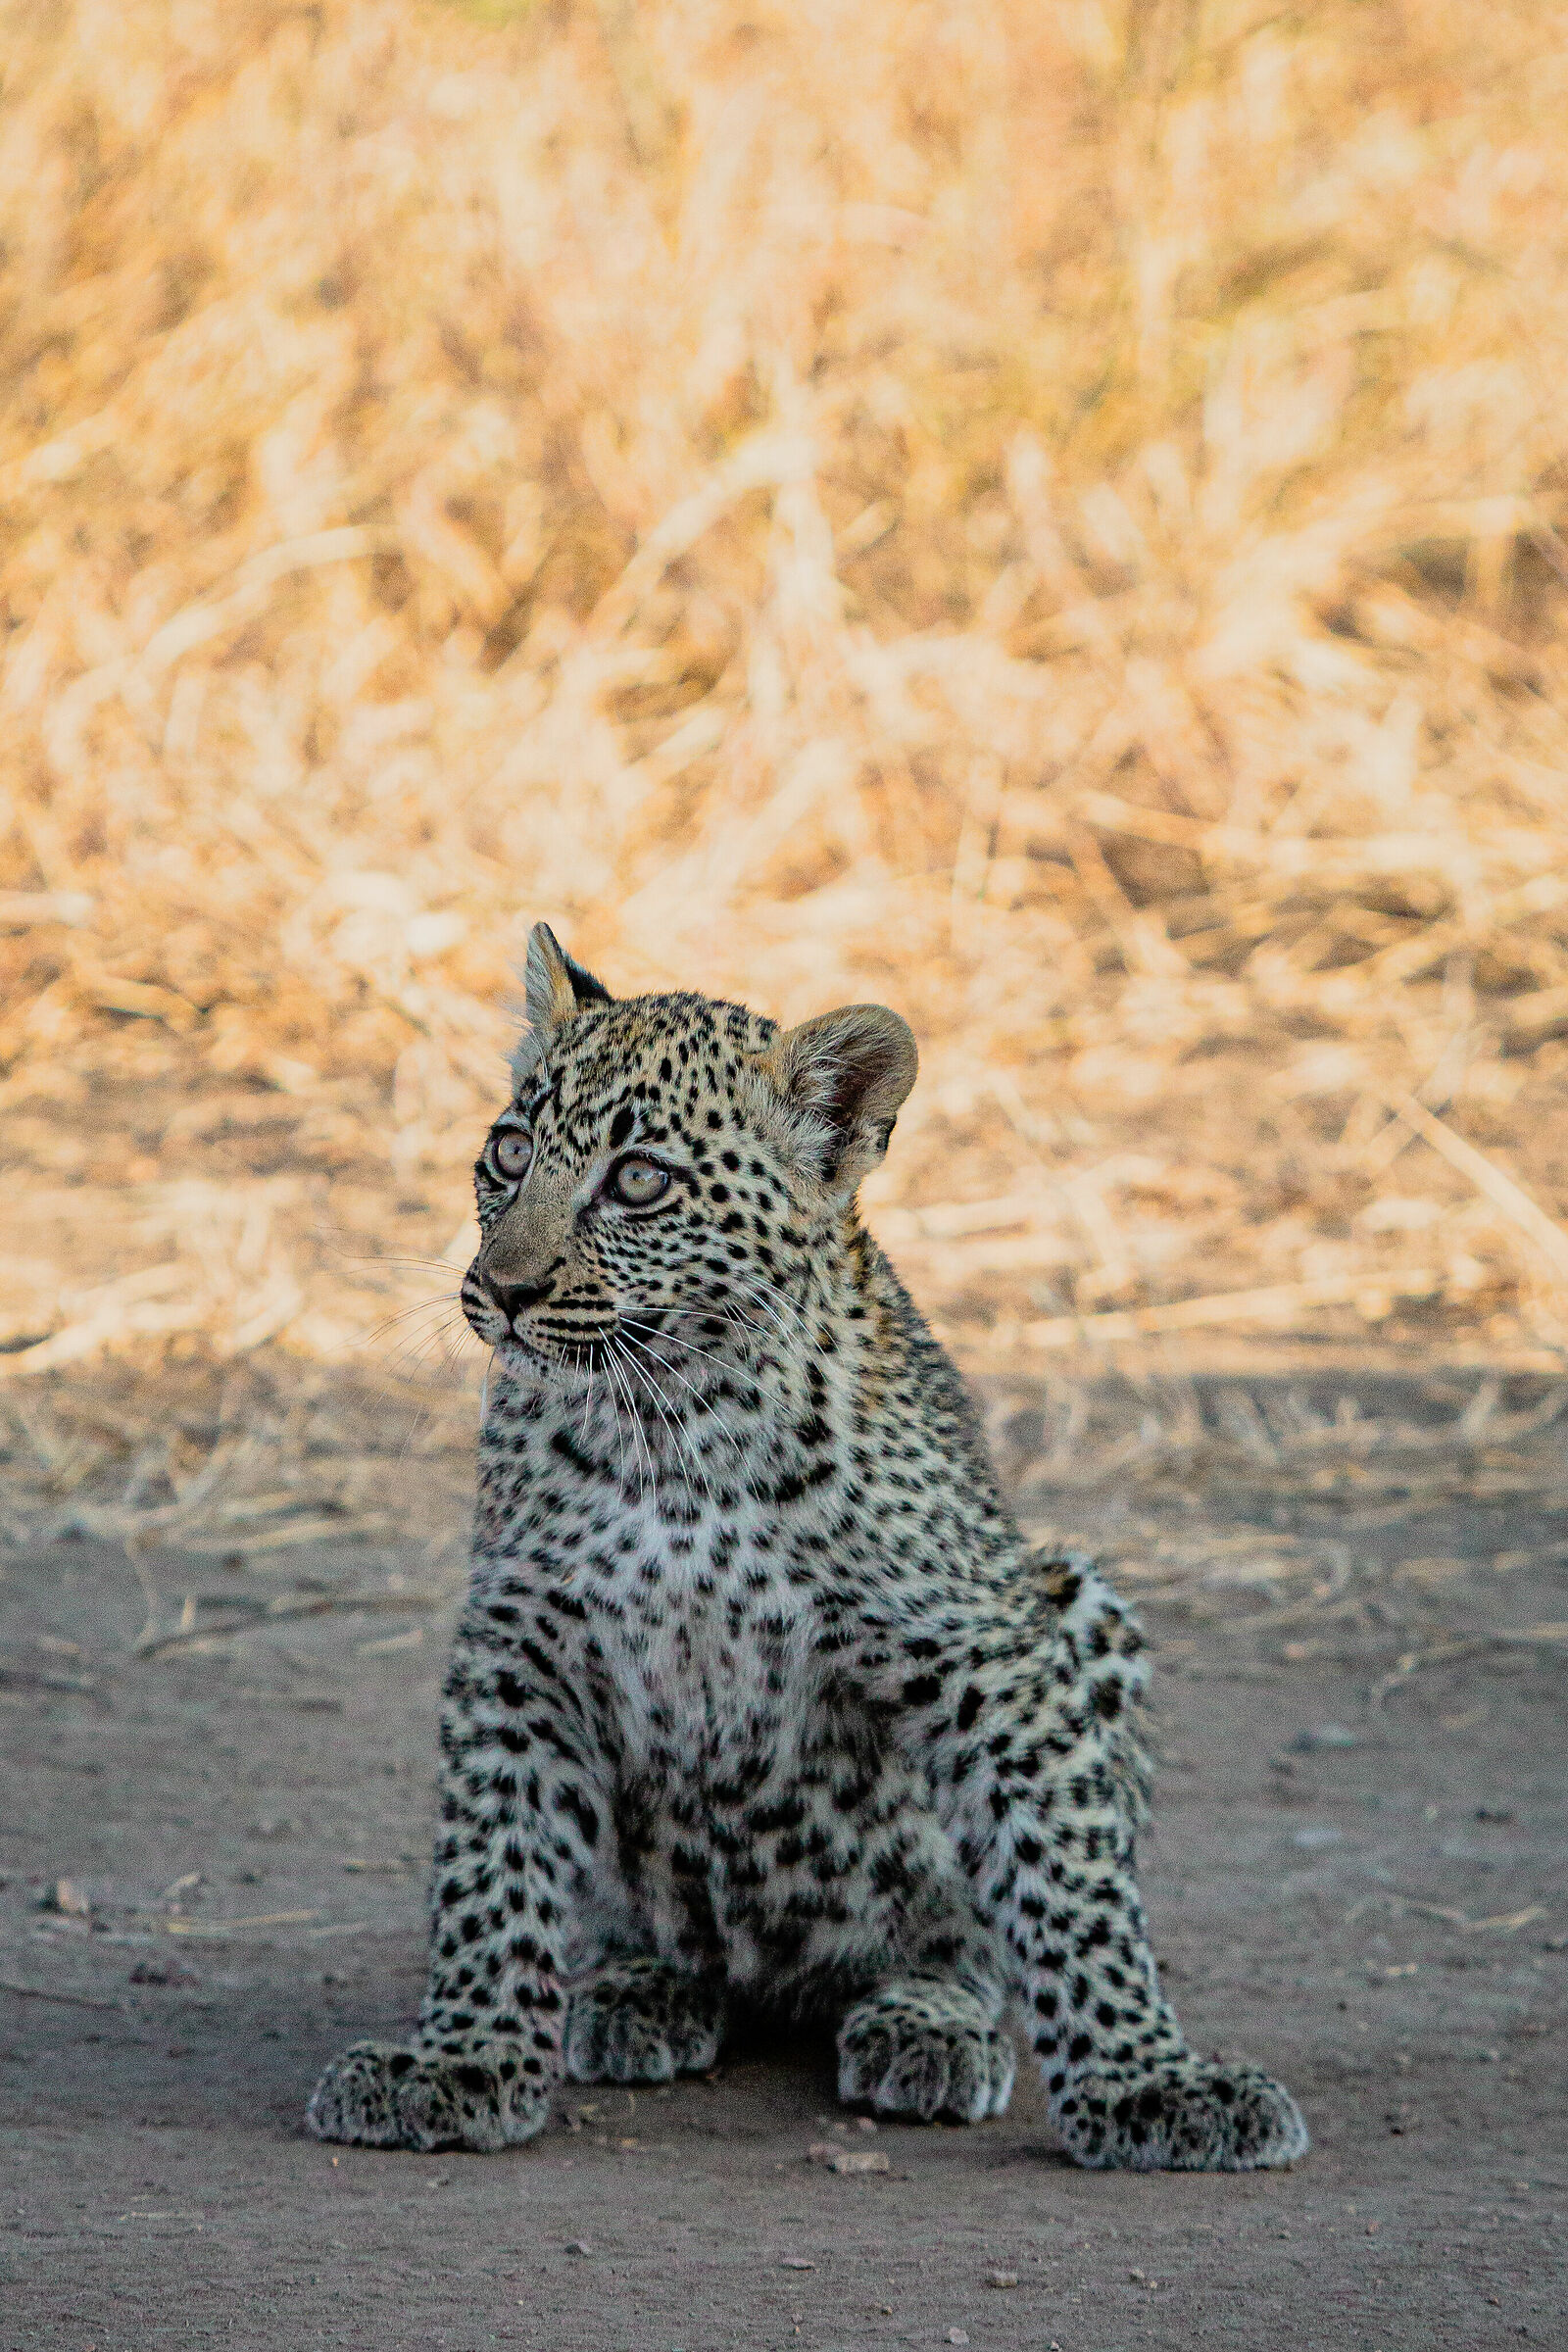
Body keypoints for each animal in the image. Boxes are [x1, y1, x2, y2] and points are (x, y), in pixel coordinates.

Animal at [305, 923, 1309, 2171]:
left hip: (1076, 1599)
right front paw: (460, 2062)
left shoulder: (986, 1654)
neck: (672, 1426)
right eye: (509, 1150)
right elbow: (494, 1871)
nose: (502, 1289)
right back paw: (636, 1987)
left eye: (639, 1179)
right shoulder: (520, 1647)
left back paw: (927, 2021)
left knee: (963, 1940)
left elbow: (1068, 1887)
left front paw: (1148, 2083)